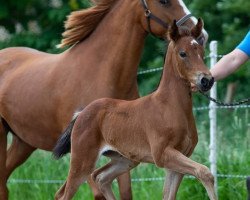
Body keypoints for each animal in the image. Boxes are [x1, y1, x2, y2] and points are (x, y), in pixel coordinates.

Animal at [53, 19, 217, 200]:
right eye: (183, 53)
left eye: (201, 52)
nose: (206, 80)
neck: (169, 106)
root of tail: (81, 113)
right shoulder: (163, 155)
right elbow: (205, 172)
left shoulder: (178, 161)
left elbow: (171, 193)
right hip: (82, 161)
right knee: (64, 193)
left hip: (125, 160)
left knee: (100, 177)